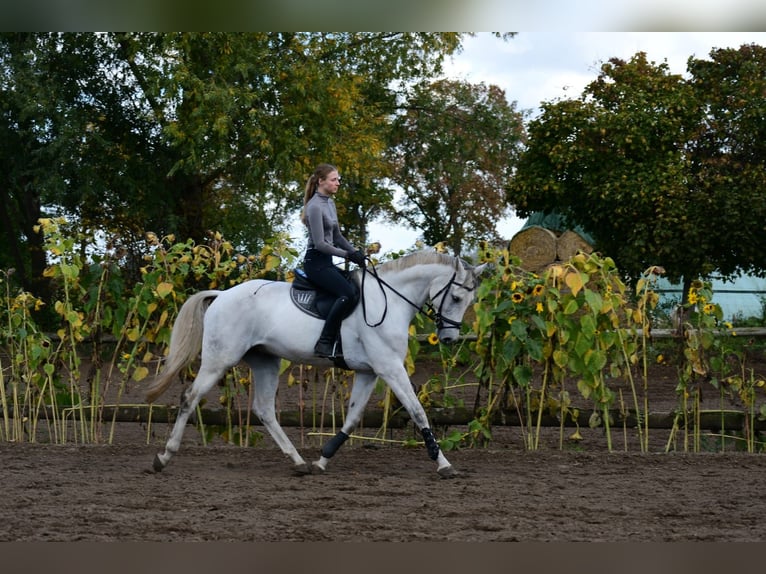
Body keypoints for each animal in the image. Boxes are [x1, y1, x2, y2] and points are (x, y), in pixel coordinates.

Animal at [146, 250, 486, 480]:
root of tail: (222, 294)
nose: (450, 339)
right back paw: (163, 457)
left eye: (470, 301)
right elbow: (417, 411)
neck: (389, 300)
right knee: (190, 397)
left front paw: (323, 460)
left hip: (266, 361)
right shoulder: (389, 368)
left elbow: (352, 419)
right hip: (220, 359)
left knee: (265, 410)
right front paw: (444, 464)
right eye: (456, 298)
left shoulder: (368, 372)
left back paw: (298, 462)